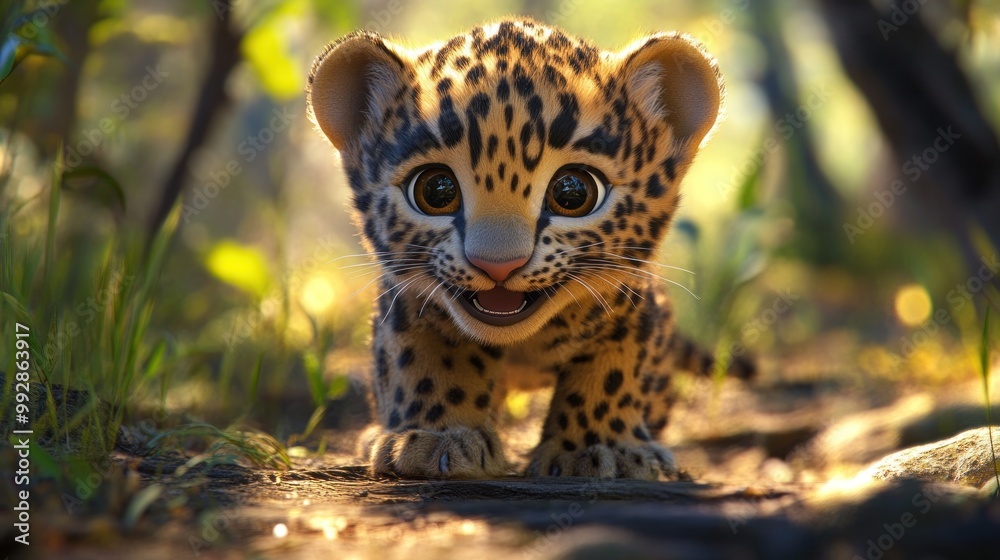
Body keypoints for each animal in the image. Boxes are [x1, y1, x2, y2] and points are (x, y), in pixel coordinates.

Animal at [306, 17, 752, 480]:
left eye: (574, 192)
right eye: (435, 190)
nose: (498, 265)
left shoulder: (633, 305)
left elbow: (612, 371)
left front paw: (602, 449)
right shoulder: (410, 300)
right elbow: (427, 361)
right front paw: (436, 437)